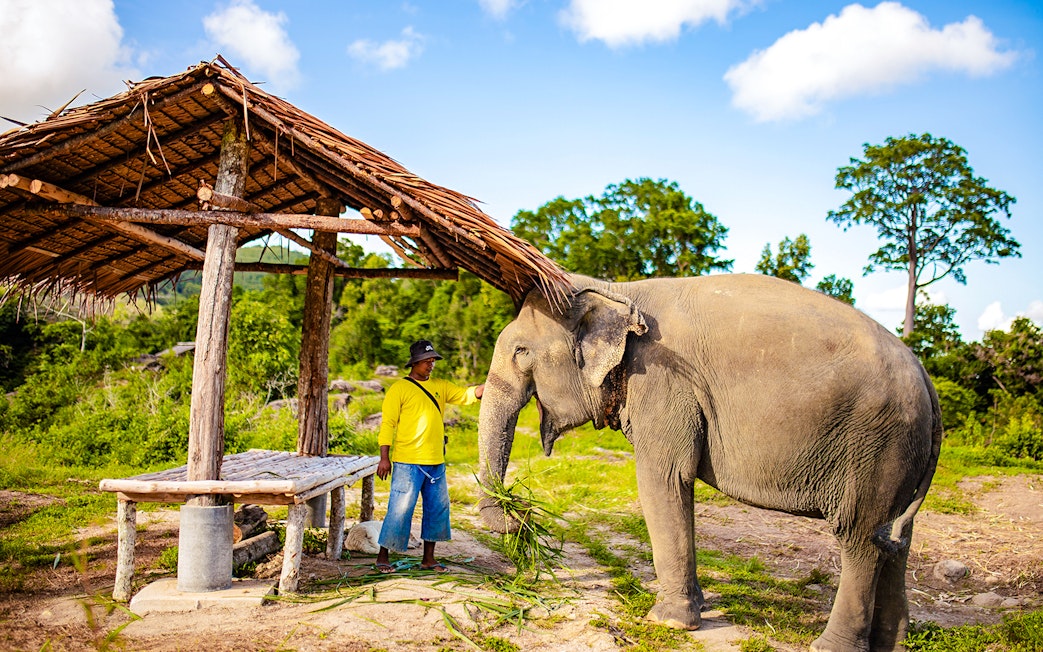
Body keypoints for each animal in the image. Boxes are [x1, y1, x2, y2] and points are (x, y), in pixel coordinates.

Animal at [476, 273, 942, 652]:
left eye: (521, 352)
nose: (521, 515)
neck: (617, 290)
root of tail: (924, 375)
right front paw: (696, 606)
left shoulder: (663, 381)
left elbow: (664, 479)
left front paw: (669, 622)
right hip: (900, 453)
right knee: (893, 540)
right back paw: (892, 643)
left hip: (877, 445)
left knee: (859, 538)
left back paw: (830, 646)